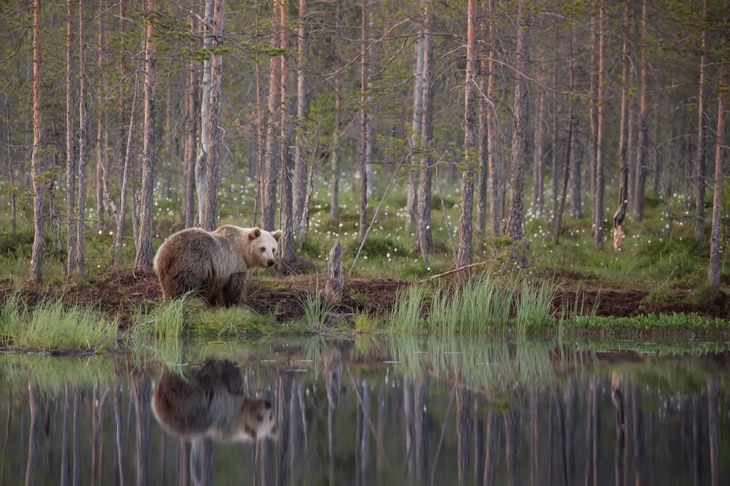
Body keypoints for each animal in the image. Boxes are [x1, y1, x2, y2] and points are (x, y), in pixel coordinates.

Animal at [152, 226, 280, 306]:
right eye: (262, 248)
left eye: (273, 249)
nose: (271, 261)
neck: (243, 252)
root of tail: (164, 253)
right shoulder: (234, 266)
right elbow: (234, 288)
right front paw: (233, 304)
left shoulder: (217, 273)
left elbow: (213, 291)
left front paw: (212, 304)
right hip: (190, 265)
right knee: (181, 289)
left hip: (166, 272)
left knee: (168, 288)